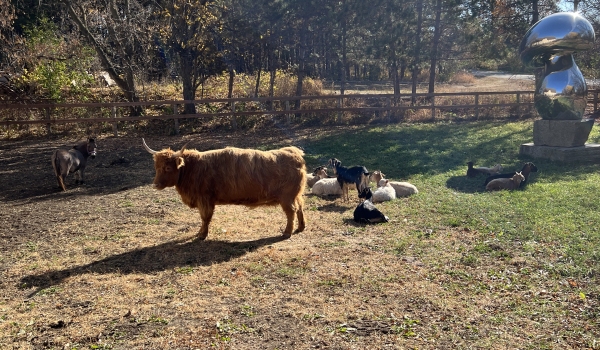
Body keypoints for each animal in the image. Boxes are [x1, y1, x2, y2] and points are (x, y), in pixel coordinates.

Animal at [143, 138, 308, 239]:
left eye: (167, 168)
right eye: (156, 167)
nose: (155, 184)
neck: (191, 169)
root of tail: (294, 152)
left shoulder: (205, 199)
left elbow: (205, 218)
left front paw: (202, 235)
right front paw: (200, 233)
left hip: (287, 197)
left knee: (291, 212)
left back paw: (287, 232)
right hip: (296, 195)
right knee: (300, 207)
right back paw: (301, 227)